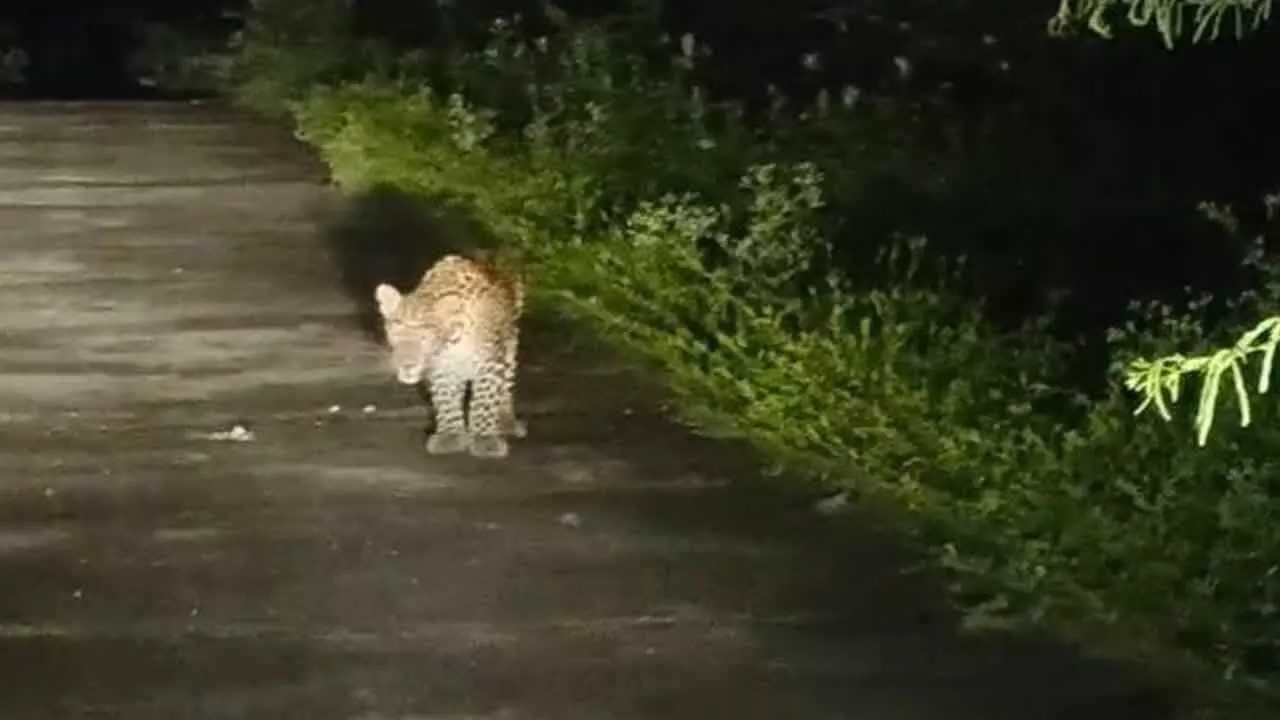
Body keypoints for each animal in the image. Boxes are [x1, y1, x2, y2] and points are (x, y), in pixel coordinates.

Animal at [373, 249, 527, 456]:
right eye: (396, 331)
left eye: (425, 335)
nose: (407, 364)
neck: (451, 342)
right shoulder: (442, 369)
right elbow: (446, 400)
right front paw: (450, 435)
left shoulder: (490, 362)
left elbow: (485, 398)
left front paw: (484, 438)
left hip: (509, 345)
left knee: (505, 385)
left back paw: (506, 421)